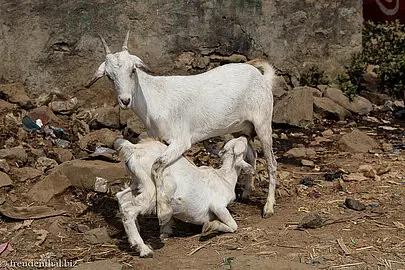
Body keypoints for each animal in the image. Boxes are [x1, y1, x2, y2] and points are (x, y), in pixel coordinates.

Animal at [114, 137, 252, 258]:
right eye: (243, 148)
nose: (244, 137)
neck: (225, 177)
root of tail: (134, 148)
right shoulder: (218, 206)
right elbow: (233, 226)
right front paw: (210, 226)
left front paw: (166, 231)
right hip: (152, 189)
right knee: (129, 209)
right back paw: (143, 248)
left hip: (137, 183)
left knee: (121, 197)